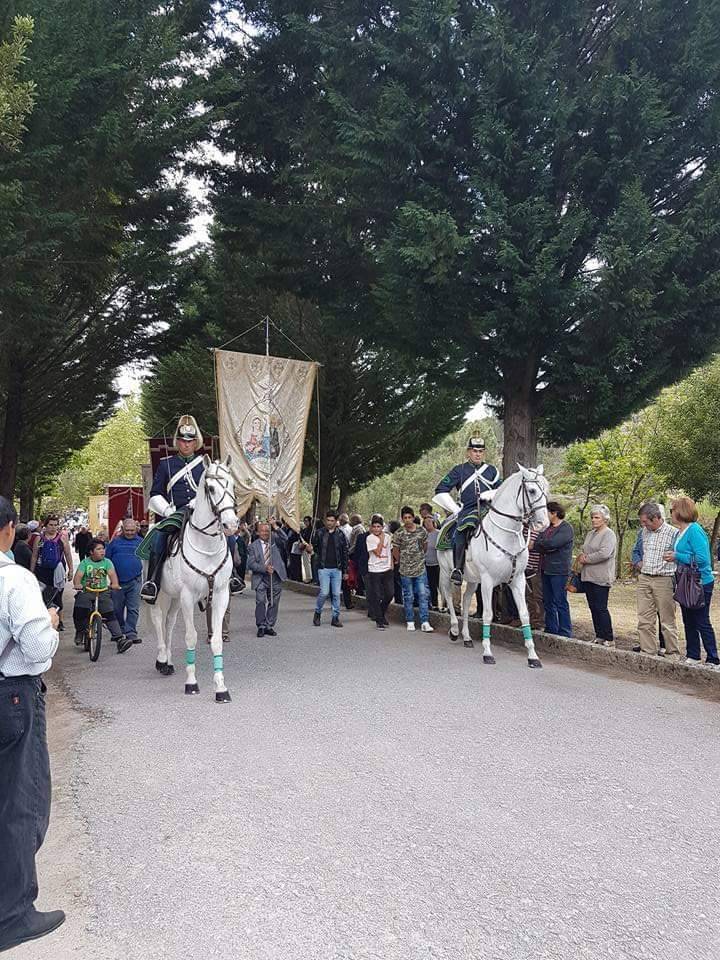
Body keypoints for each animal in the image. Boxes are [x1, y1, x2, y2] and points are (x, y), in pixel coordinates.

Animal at [149, 454, 239, 700]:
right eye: (210, 488)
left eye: (232, 485)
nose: (231, 524)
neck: (207, 546)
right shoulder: (188, 596)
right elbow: (190, 637)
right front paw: (191, 682)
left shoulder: (220, 595)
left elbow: (216, 640)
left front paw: (221, 687)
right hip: (160, 594)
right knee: (158, 620)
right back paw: (162, 659)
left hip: (175, 598)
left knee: (170, 623)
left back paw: (169, 661)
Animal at [436, 464, 548, 668]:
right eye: (532, 490)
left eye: (546, 490)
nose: (543, 523)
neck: (507, 534)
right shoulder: (488, 581)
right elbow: (487, 614)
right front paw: (487, 652)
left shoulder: (518, 581)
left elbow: (524, 615)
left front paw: (533, 656)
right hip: (447, 572)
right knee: (448, 595)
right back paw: (454, 630)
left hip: (473, 580)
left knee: (465, 601)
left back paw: (466, 637)